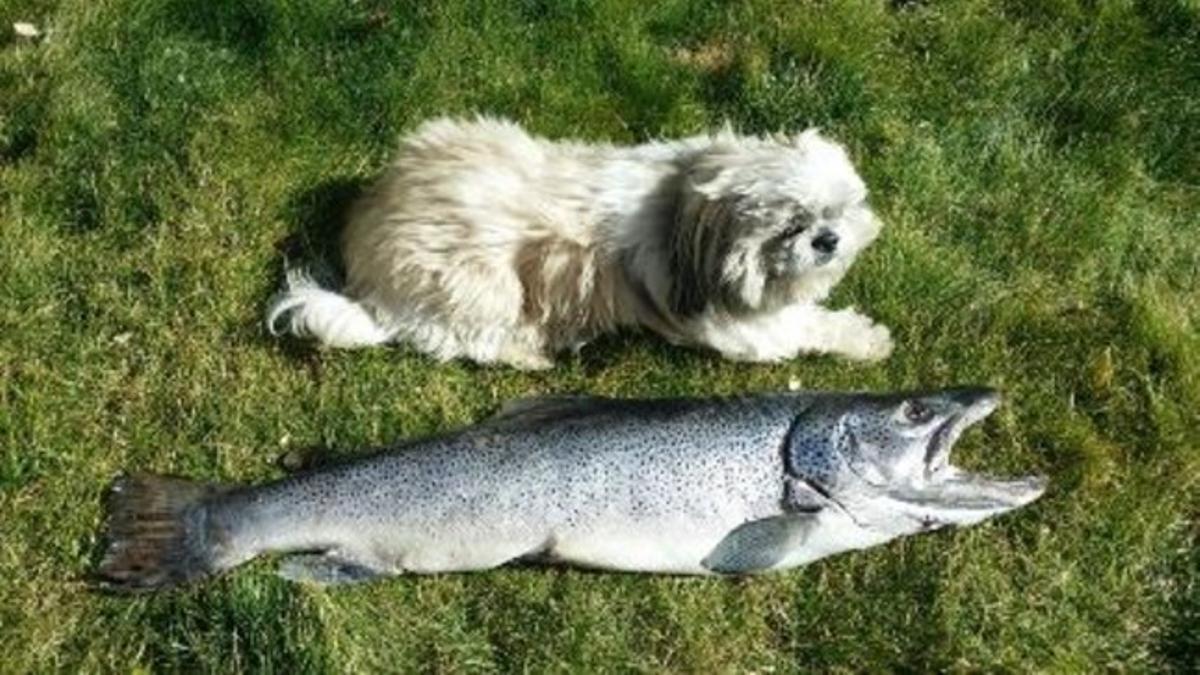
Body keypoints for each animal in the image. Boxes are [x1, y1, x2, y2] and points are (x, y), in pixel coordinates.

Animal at [270, 115, 892, 367]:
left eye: (839, 210)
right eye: (789, 227)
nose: (827, 239)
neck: (680, 204)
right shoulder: (739, 329)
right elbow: (810, 326)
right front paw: (866, 339)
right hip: (480, 287)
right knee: (460, 339)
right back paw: (528, 353)